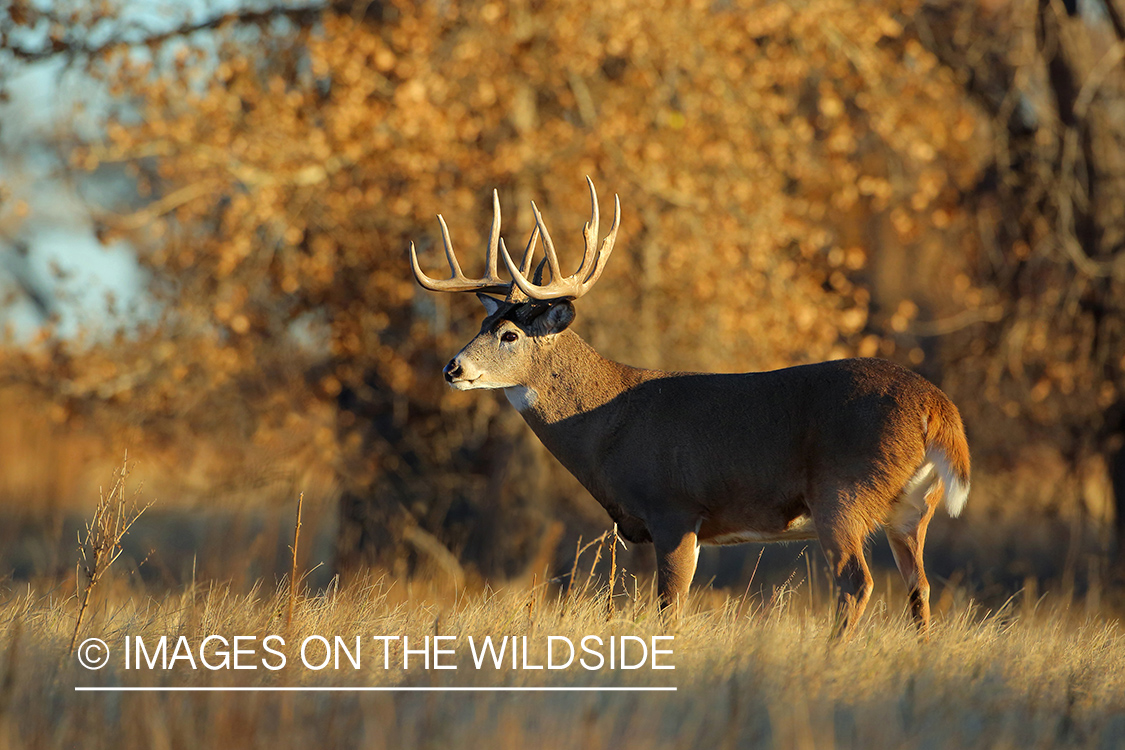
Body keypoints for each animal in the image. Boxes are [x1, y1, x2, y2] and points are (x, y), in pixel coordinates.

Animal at [409, 178, 972, 638]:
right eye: (482, 324)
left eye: (508, 334)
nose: (453, 368)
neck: (607, 424)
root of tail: (939, 408)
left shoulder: (673, 507)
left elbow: (669, 610)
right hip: (912, 509)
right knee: (919, 589)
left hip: (844, 491)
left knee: (857, 582)